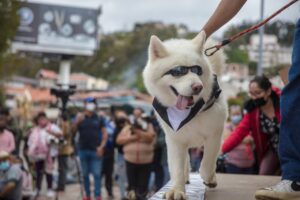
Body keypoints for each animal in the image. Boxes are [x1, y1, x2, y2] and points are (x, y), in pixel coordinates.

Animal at [143, 31, 227, 200]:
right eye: (178, 71)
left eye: (197, 70)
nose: (197, 86)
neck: (189, 113)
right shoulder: (175, 140)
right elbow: (177, 168)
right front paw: (177, 190)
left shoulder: (215, 134)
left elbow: (208, 162)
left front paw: (209, 178)